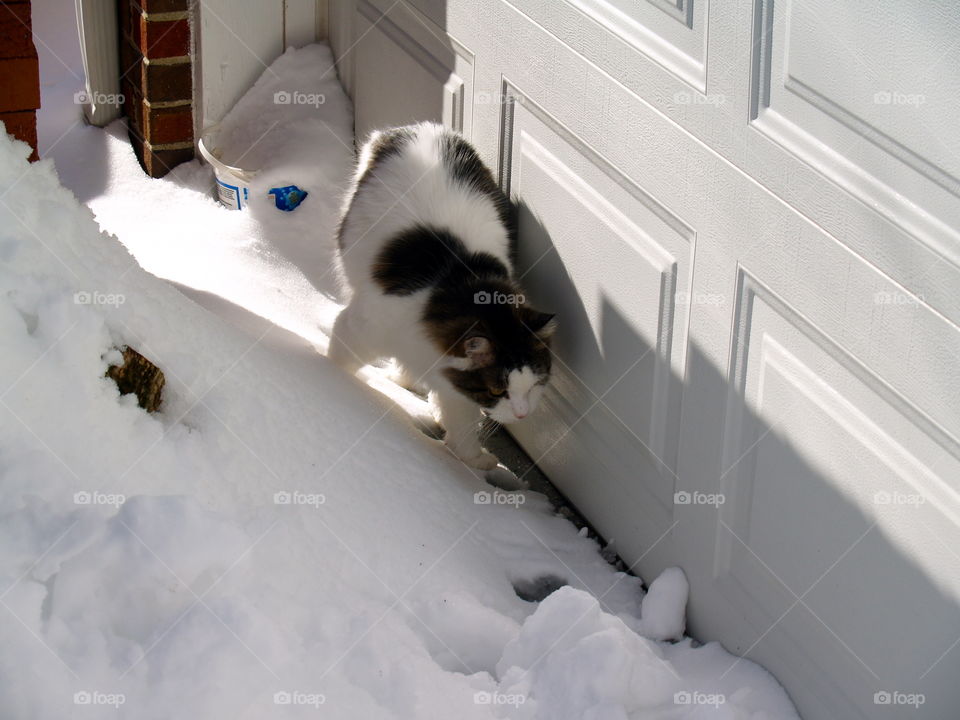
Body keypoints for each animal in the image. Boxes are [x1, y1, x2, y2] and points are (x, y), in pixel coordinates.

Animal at [330, 121, 556, 470]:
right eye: (497, 391)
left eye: (534, 385)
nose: (521, 415)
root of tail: (424, 127)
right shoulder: (361, 327)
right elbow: (340, 361)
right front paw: (335, 387)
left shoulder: (456, 386)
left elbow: (462, 425)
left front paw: (473, 460)